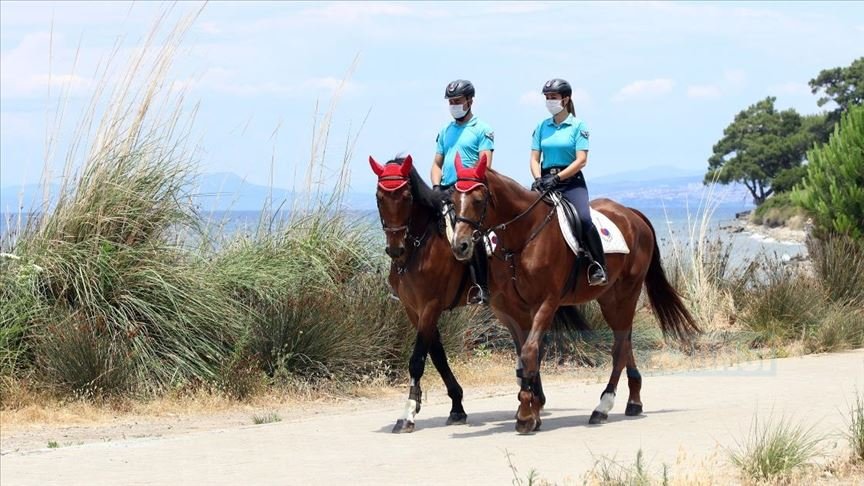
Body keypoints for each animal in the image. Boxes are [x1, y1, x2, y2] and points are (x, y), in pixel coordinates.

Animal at [368, 155, 584, 432]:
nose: (395, 249)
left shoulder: (430, 306)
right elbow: (437, 355)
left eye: (406, 196)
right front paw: (456, 407)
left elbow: (418, 359)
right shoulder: (413, 310)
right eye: (379, 197)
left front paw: (408, 414)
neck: (420, 247)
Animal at [448, 154, 700, 434]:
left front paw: (525, 415)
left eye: (478, 200)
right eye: (452, 199)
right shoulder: (515, 310)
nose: (460, 245)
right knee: (625, 341)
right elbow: (526, 356)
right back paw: (634, 401)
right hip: (608, 297)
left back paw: (603, 407)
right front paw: (533, 412)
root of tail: (632, 214)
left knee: (619, 347)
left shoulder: (546, 303)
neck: (524, 235)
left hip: (626, 294)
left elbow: (530, 351)